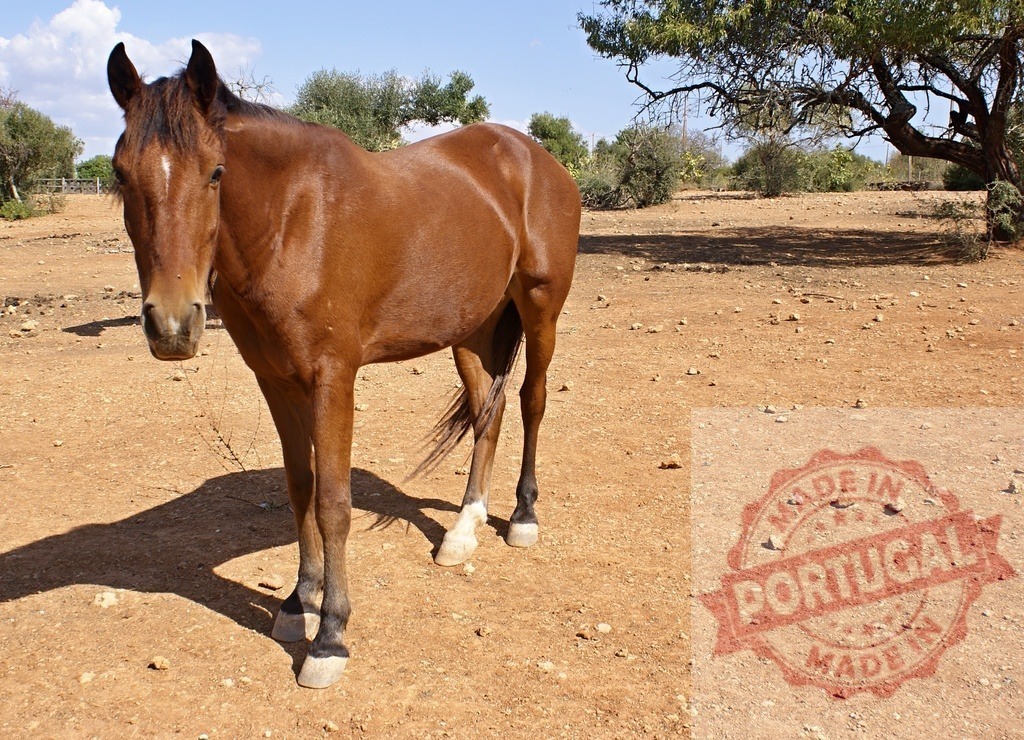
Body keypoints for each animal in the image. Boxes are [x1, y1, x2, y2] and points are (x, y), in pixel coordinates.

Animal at [106, 40, 580, 689]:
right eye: (119, 173)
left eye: (216, 172)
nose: (173, 325)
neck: (293, 221)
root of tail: (535, 157)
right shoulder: (276, 381)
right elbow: (300, 487)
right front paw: (297, 600)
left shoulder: (333, 379)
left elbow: (333, 504)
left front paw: (330, 633)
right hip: (472, 330)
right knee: (491, 409)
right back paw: (464, 528)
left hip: (539, 312)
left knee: (531, 402)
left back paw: (523, 517)